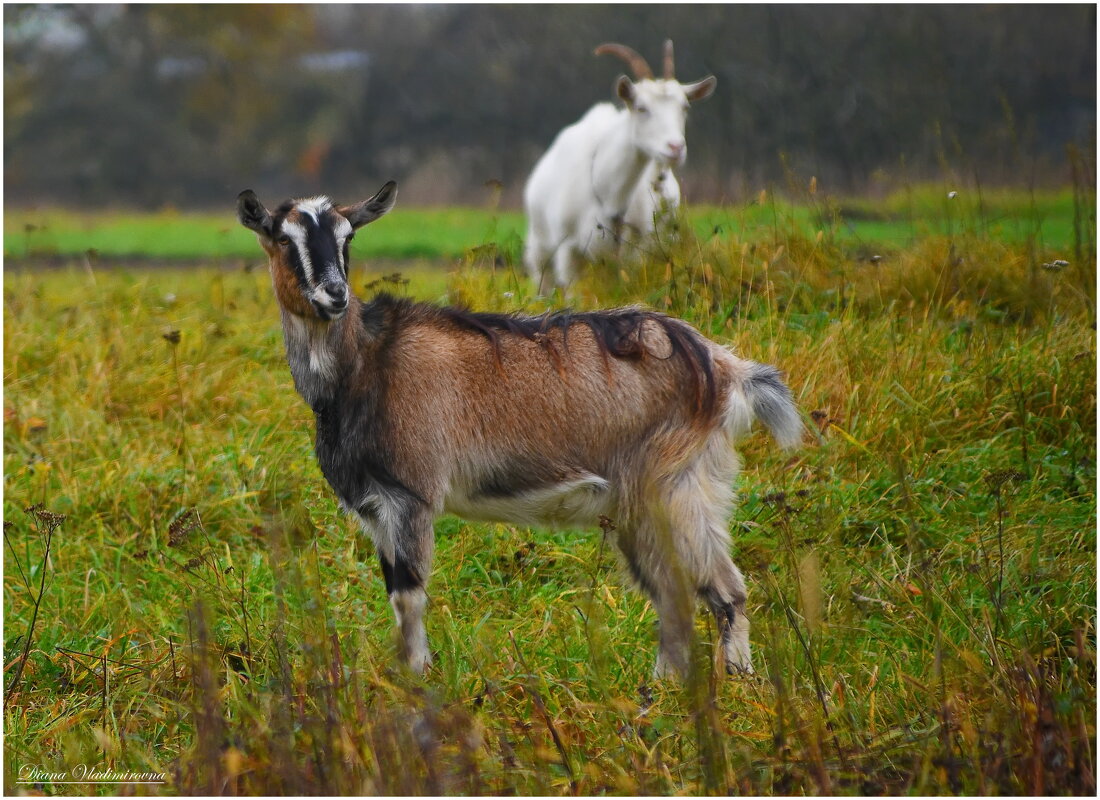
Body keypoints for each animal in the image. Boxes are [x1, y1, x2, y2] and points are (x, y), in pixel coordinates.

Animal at [521, 42, 712, 294]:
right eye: (641, 107)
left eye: (684, 107)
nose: (675, 147)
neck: (610, 193)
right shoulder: (568, 249)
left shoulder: (637, 252)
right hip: (541, 248)